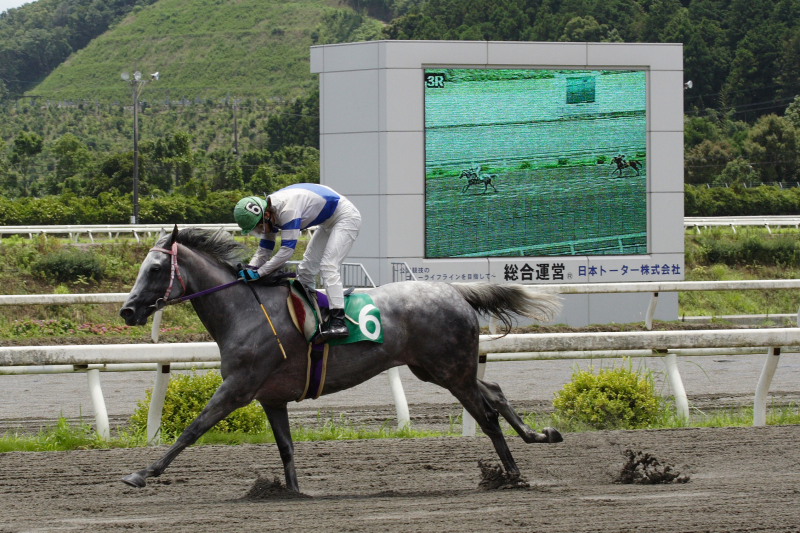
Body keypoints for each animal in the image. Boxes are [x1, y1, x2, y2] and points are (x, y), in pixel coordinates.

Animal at [122, 225, 564, 490]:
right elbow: (286, 447)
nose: (127, 310)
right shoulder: (271, 397)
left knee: (486, 414)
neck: (245, 310)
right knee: (495, 389)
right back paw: (541, 435)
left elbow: (193, 429)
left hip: (450, 371)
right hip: (438, 369)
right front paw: (293, 492)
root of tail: (455, 291)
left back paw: (513, 475)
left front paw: (142, 473)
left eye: (156, 268)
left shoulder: (238, 388)